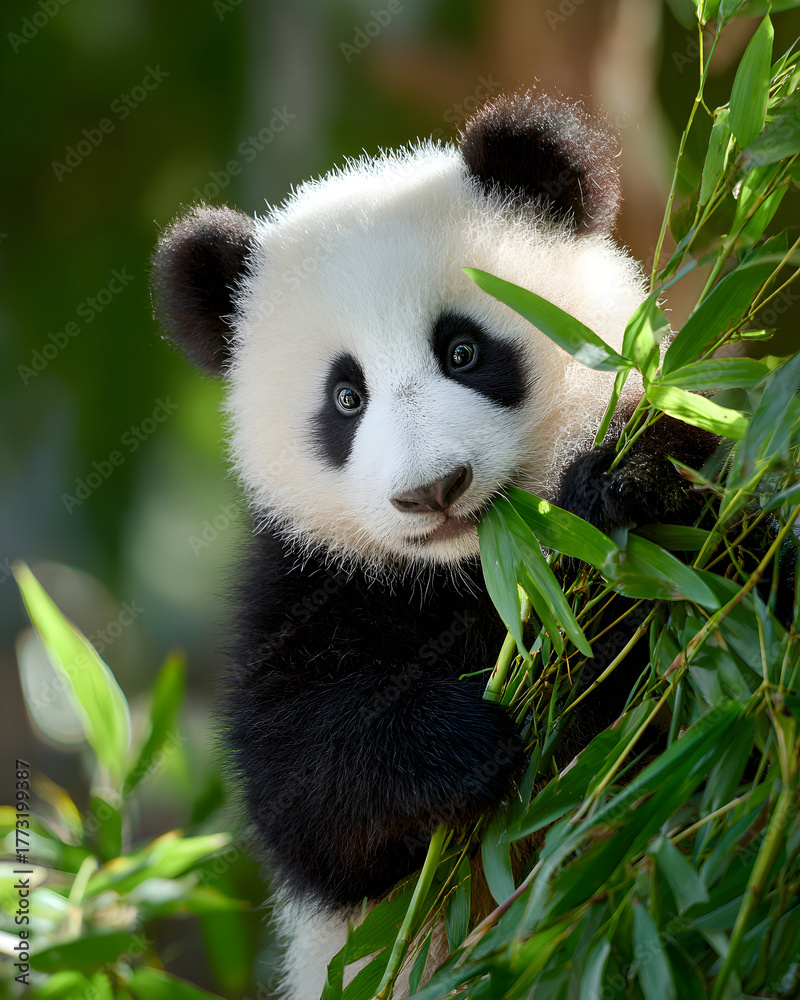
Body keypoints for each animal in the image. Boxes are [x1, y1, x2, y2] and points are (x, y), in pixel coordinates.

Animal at [151, 89, 718, 998]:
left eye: (463, 351)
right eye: (346, 398)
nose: (433, 491)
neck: (476, 572)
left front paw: (625, 486)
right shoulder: (306, 579)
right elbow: (302, 790)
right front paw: (462, 741)